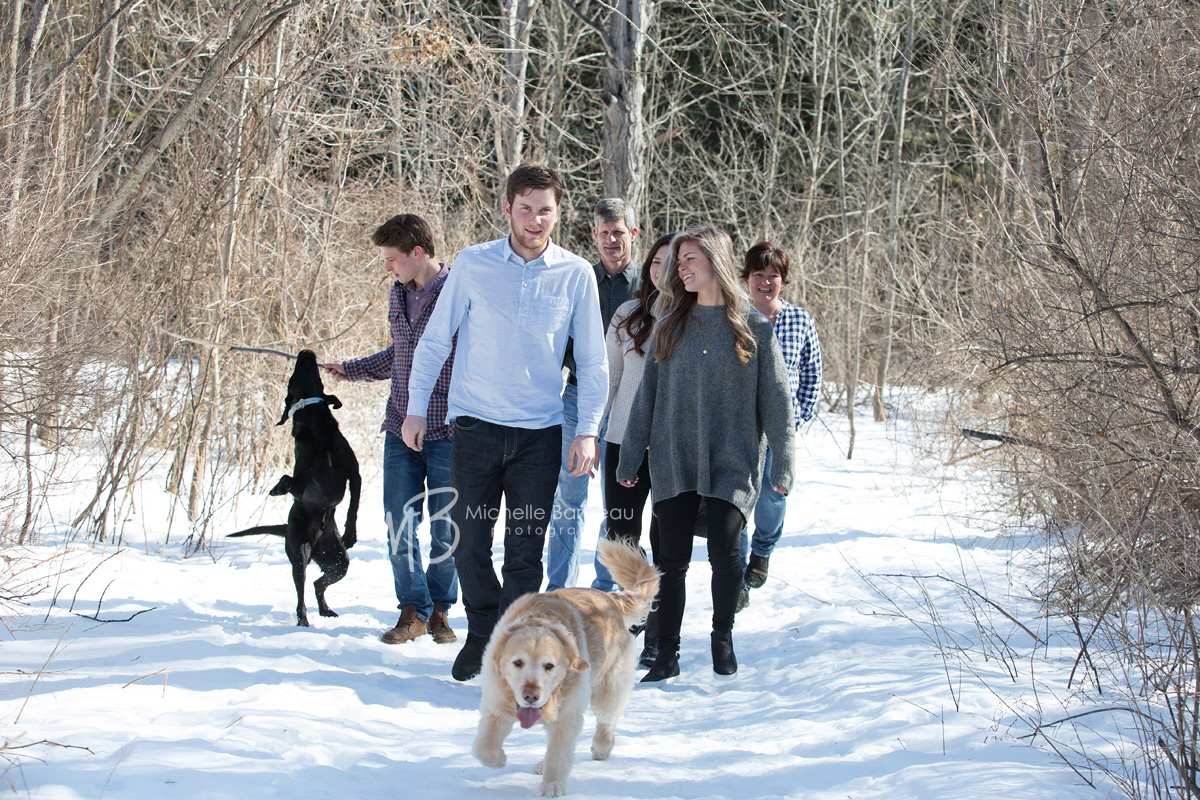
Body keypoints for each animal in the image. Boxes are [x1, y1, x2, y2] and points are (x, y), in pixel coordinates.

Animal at [229, 350, 360, 623]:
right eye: (294, 376)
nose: (306, 352)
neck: (319, 429)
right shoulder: (305, 487)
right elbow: (288, 479)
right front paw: (277, 488)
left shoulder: (353, 473)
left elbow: (353, 506)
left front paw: (351, 533)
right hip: (299, 553)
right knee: (302, 590)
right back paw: (303, 620)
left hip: (337, 560)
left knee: (318, 584)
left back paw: (325, 610)